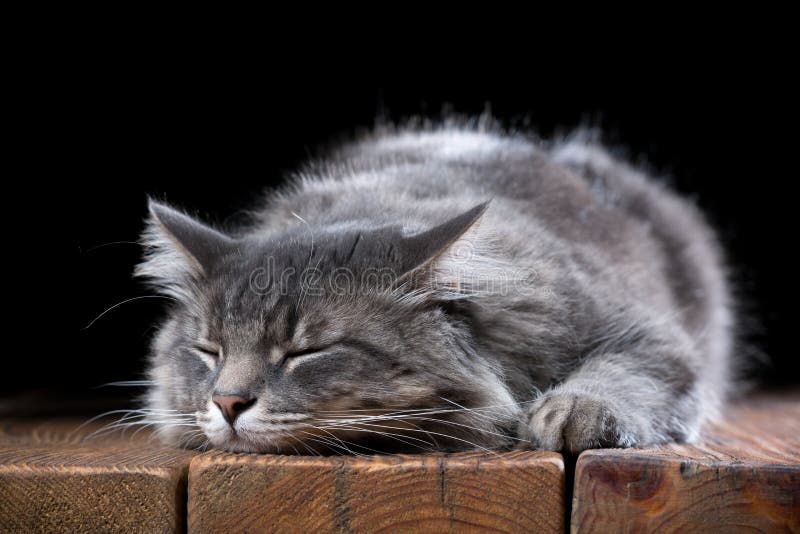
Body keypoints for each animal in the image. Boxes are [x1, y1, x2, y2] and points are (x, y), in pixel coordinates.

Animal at [136, 121, 732, 456]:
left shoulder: (648, 335)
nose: (226, 401)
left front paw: (573, 412)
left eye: (307, 351)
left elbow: (624, 373)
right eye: (207, 351)